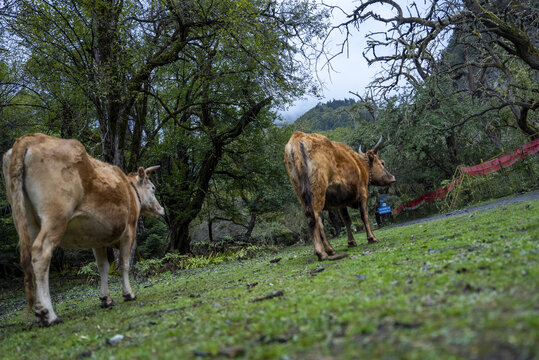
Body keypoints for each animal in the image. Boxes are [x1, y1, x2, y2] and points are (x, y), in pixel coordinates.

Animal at [2, 133, 165, 326]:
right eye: (153, 188)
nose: (162, 209)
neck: (130, 189)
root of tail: (30, 138)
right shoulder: (129, 232)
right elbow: (124, 264)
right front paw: (128, 294)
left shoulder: (96, 238)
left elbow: (103, 267)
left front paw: (106, 299)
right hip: (55, 217)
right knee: (41, 254)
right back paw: (48, 314)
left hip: (28, 222)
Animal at [284, 131, 394, 260]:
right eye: (382, 163)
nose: (392, 177)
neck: (359, 164)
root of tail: (298, 136)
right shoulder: (363, 193)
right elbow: (364, 216)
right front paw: (372, 238)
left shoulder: (341, 202)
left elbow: (347, 220)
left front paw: (351, 242)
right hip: (317, 190)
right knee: (313, 217)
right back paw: (321, 253)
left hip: (302, 195)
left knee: (318, 222)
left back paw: (330, 250)